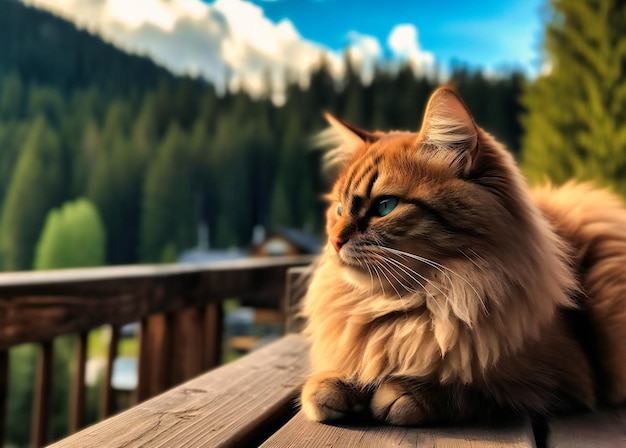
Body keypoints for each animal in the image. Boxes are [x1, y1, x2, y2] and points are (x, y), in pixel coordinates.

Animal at [298, 86, 624, 426]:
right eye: (338, 209)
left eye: (385, 206)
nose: (335, 241)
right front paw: (338, 383)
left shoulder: (560, 380)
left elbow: (469, 389)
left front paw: (402, 392)